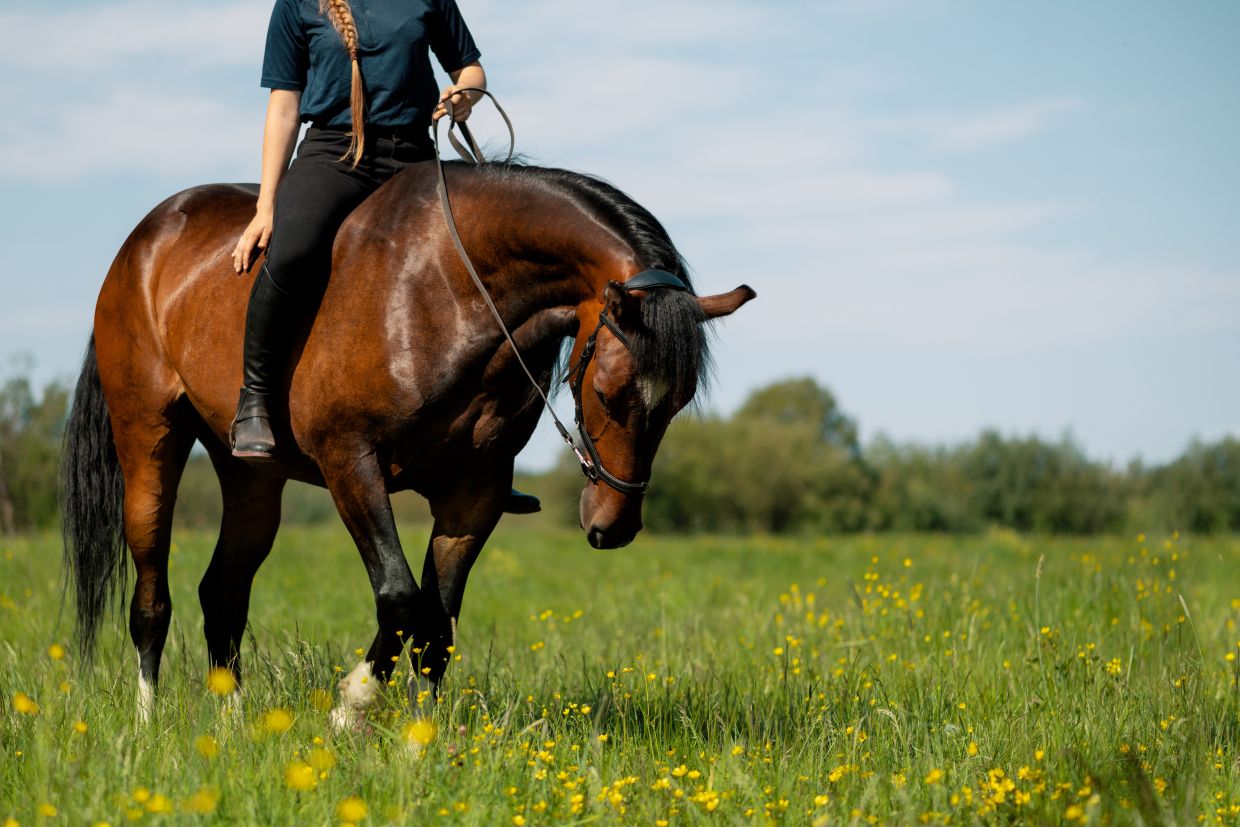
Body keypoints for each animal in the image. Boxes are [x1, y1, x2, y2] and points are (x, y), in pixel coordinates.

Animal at [58, 156, 753, 724]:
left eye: (679, 402)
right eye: (608, 394)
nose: (615, 526)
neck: (448, 290)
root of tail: (145, 240)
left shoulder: (474, 492)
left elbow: (436, 622)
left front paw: (421, 742)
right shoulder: (351, 464)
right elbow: (399, 598)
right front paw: (352, 707)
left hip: (252, 477)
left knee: (223, 592)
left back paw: (228, 724)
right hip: (149, 441)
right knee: (152, 594)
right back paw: (146, 727)